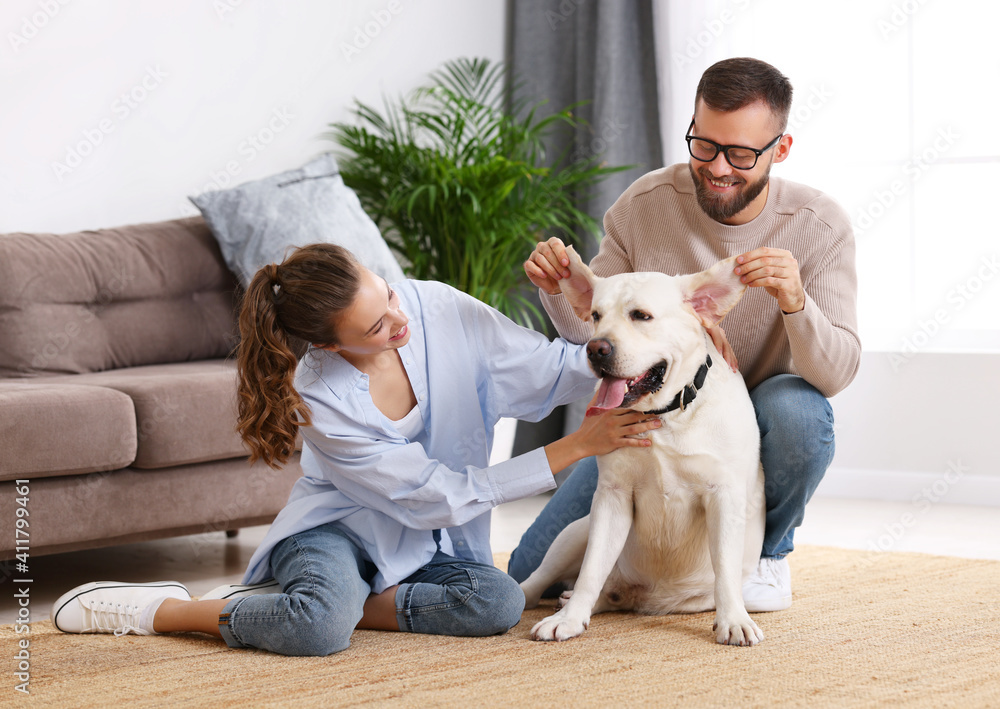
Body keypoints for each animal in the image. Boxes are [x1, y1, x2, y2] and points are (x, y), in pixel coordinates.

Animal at [524, 248, 764, 648]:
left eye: (641, 315)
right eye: (595, 315)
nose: (595, 348)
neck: (665, 415)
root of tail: (638, 599)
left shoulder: (724, 496)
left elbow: (725, 571)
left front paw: (733, 620)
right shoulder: (613, 497)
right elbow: (591, 570)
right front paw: (569, 620)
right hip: (574, 532)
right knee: (540, 581)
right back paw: (556, 601)